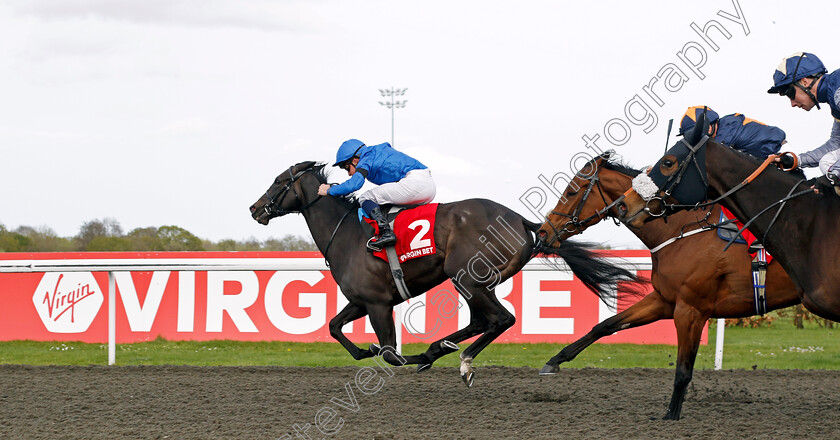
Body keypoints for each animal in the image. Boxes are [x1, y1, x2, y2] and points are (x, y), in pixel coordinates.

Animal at [249, 162, 636, 384]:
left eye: (279, 181)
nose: (255, 208)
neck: (345, 233)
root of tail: (523, 221)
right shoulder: (362, 300)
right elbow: (333, 326)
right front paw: (366, 351)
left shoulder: (377, 303)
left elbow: (389, 351)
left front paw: (390, 353)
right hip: (477, 281)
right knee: (483, 320)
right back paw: (437, 350)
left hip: (465, 275)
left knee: (501, 319)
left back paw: (457, 360)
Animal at [536, 151, 796, 420]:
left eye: (571, 192)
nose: (543, 232)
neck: (679, 230)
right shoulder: (665, 300)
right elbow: (606, 325)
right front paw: (555, 360)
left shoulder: (690, 310)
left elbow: (683, 371)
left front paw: (671, 415)